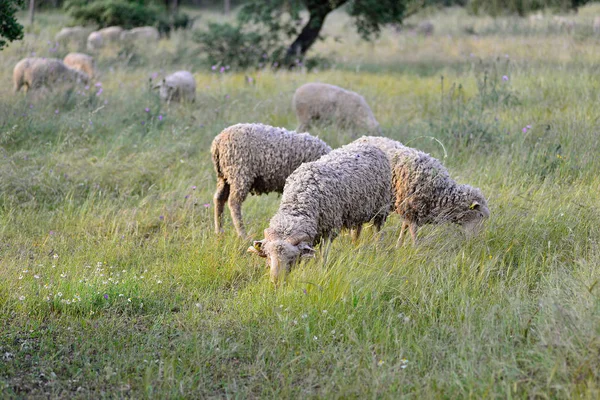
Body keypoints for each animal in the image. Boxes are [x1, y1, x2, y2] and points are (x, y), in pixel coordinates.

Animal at [246, 142, 392, 282]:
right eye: (269, 256)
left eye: (291, 258)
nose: (276, 281)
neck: (300, 199)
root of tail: (370, 144)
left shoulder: (330, 230)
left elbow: (323, 256)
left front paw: (322, 270)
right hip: (357, 211)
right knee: (357, 232)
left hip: (381, 208)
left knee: (378, 231)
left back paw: (378, 250)